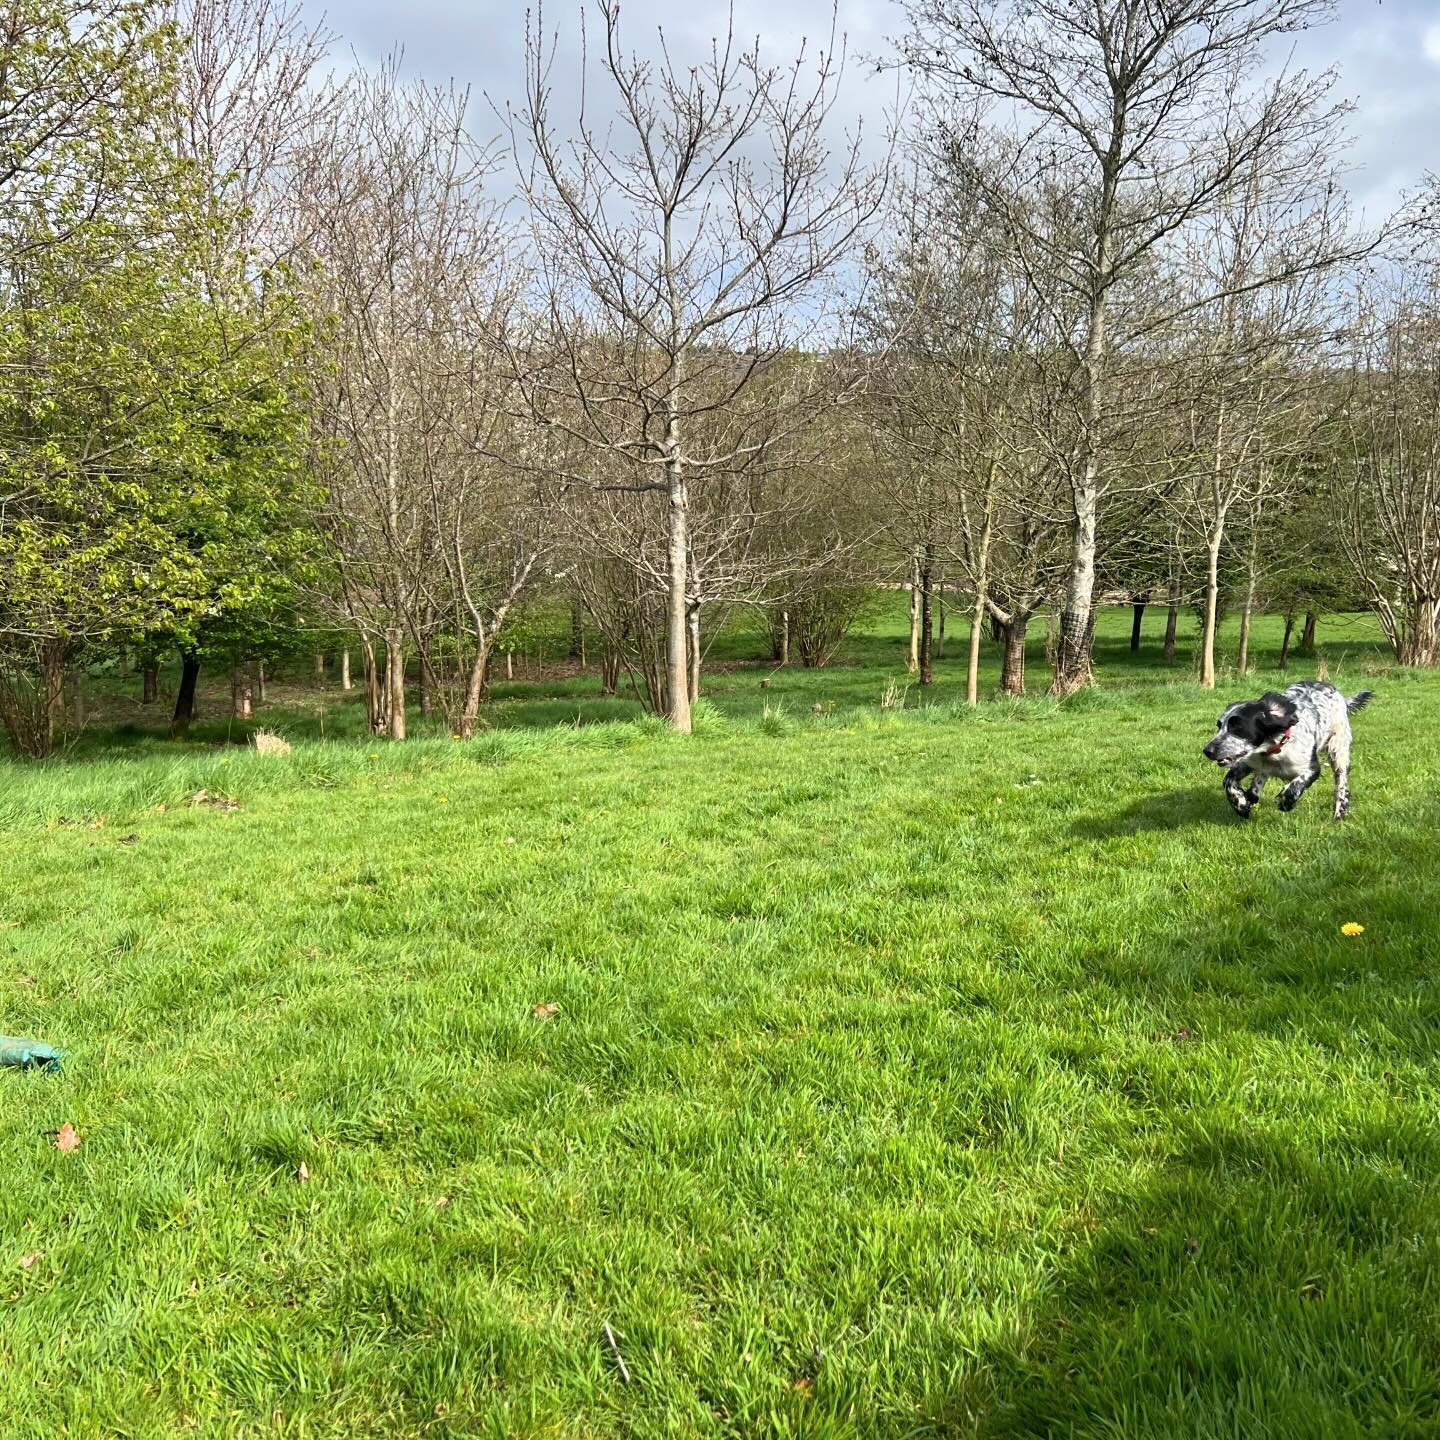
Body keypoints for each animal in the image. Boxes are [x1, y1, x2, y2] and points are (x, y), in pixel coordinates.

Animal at [1203, 682, 1370, 823]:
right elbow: (1228, 782)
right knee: (1260, 778)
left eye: (1238, 728)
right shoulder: (1248, 762)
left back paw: (1340, 812)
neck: (1274, 751)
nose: (1207, 751)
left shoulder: (1312, 768)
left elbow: (1294, 787)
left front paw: (1285, 802)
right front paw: (1241, 805)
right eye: (1219, 726)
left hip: (1339, 750)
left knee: (1341, 783)